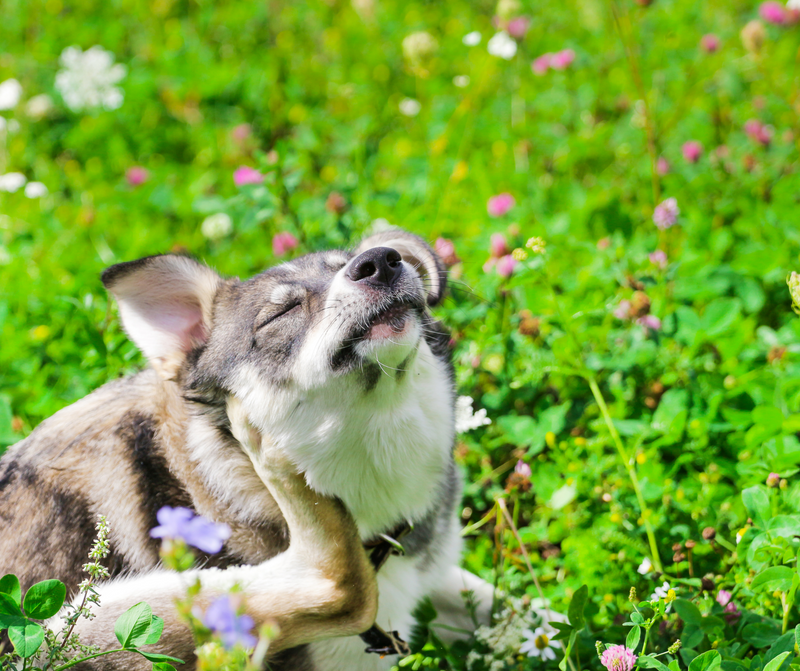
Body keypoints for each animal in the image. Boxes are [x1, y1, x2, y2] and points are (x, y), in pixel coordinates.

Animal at [0, 228, 494, 668]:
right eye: (282, 313)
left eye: (361, 260)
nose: (381, 260)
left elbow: (502, 603)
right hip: (84, 629)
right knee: (339, 586)